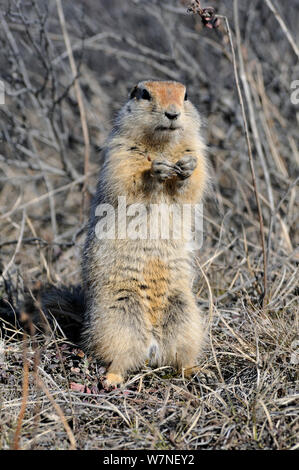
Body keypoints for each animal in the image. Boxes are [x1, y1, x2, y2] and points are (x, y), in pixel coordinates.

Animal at [82, 81, 209, 390]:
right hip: (117, 318)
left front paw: (187, 168)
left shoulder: (198, 150)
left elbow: (194, 184)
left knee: (181, 356)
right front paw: (155, 170)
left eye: (186, 95)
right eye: (144, 93)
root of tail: (152, 343)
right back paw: (112, 379)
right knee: (120, 356)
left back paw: (197, 370)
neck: (162, 145)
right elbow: (127, 182)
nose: (173, 113)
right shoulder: (119, 154)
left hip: (185, 316)